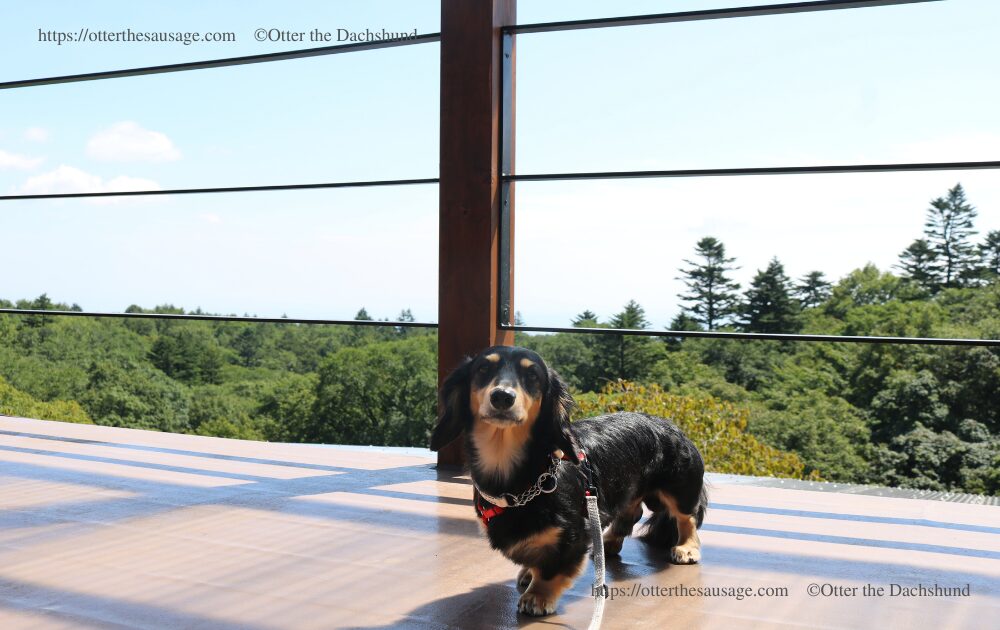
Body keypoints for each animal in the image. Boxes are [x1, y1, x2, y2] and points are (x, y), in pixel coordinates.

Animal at [434, 346, 708, 616]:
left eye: (532, 375)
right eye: (483, 369)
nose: (502, 397)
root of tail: (673, 426)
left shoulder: (572, 535)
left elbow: (551, 568)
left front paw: (537, 595)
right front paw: (529, 573)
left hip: (679, 489)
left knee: (687, 518)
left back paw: (686, 547)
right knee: (632, 512)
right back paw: (608, 542)